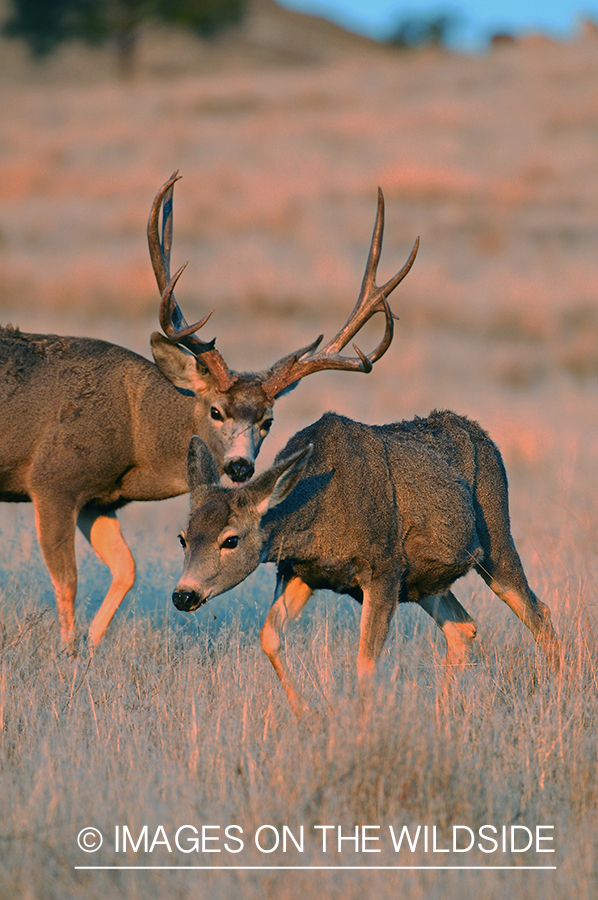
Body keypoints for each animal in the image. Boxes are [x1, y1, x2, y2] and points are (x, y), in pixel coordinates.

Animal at [0, 173, 419, 649]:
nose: (240, 466)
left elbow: (127, 570)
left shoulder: (100, 500)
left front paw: (89, 647)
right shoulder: (53, 481)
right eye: (216, 411)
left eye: (268, 421)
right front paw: (67, 651)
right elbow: (67, 581)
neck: (134, 429)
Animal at [173, 411, 560, 717]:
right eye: (183, 538)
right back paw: (443, 713)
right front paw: (306, 715)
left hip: (497, 542)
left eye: (231, 539)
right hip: (424, 584)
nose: (183, 595)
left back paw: (558, 689)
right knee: (463, 627)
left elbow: (365, 662)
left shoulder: (383, 568)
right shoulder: (300, 572)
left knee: (537, 612)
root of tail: (484, 436)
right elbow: (269, 635)